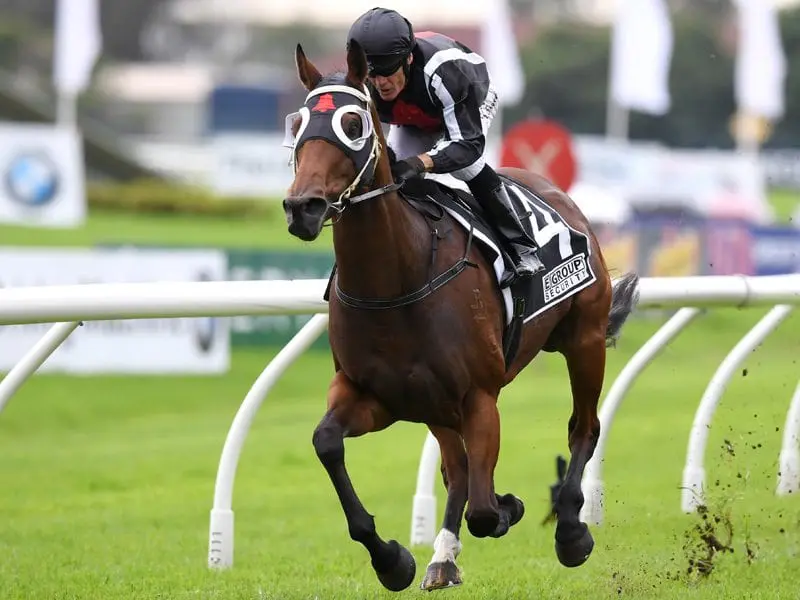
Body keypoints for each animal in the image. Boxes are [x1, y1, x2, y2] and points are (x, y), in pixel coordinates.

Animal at [282, 39, 636, 592]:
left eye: (353, 123)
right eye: (296, 123)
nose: (304, 207)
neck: (397, 281)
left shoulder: (479, 397)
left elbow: (487, 510)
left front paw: (515, 508)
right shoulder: (373, 397)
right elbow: (326, 444)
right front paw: (393, 560)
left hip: (584, 339)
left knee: (583, 427)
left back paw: (571, 531)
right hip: (436, 406)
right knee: (456, 468)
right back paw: (442, 558)